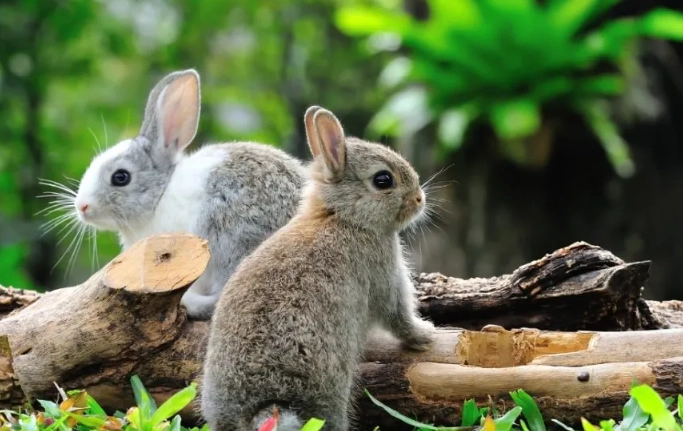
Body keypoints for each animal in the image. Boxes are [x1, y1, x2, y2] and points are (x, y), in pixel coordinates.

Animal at [200, 106, 436, 431]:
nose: (419, 199)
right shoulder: (384, 275)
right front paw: (426, 335)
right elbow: (398, 317)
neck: (342, 217)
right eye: (383, 180)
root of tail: (265, 407)